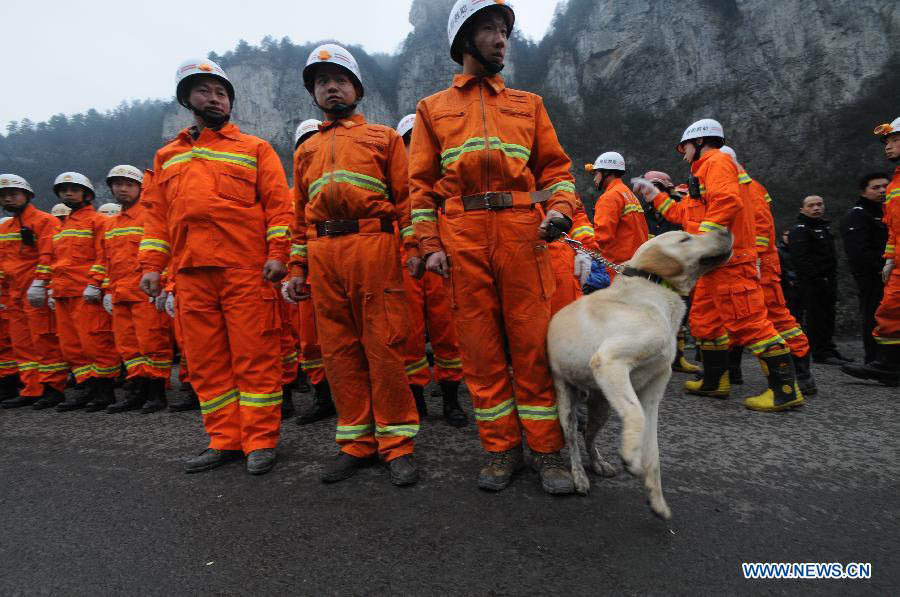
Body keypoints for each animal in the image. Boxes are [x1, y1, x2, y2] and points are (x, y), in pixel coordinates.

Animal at [548, 228, 732, 516]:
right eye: (685, 239)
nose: (725, 230)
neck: (653, 293)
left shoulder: (655, 388)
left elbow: (653, 450)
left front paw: (656, 499)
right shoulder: (609, 361)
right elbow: (636, 415)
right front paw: (630, 457)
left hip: (602, 407)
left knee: (589, 435)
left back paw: (598, 463)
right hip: (566, 404)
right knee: (574, 441)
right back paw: (579, 477)